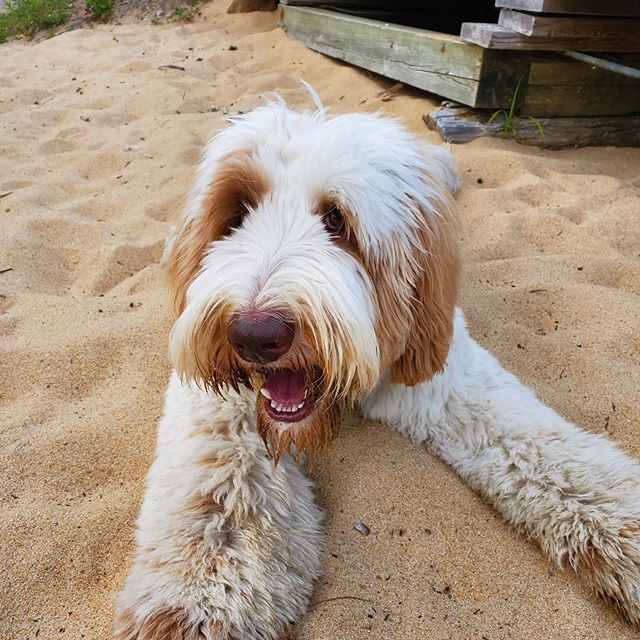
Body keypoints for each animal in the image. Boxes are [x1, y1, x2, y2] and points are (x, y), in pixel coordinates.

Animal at [115, 102, 640, 636]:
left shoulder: (451, 382)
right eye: (237, 212)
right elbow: (223, 483)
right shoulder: (220, 400)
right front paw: (200, 595)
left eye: (337, 219)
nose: (255, 336)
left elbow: (551, 456)